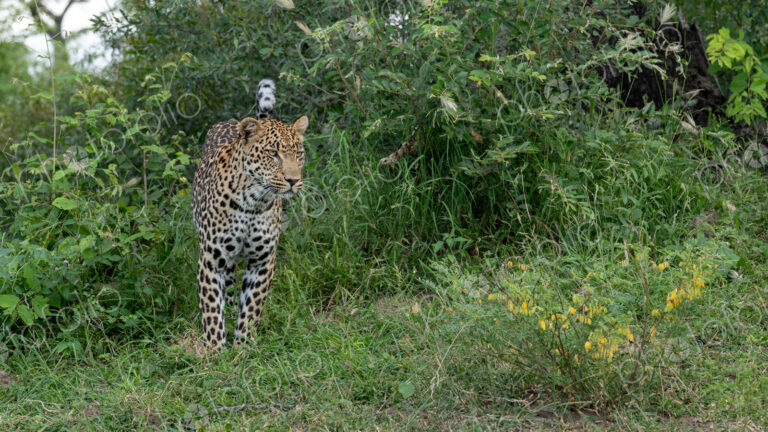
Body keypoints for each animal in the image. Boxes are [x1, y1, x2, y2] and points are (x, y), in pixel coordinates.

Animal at [191, 79, 307, 351]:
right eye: (273, 153)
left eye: (298, 153)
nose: (293, 180)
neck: (252, 203)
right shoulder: (211, 260)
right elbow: (211, 309)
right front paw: (215, 350)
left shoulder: (262, 260)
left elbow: (253, 306)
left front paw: (243, 346)